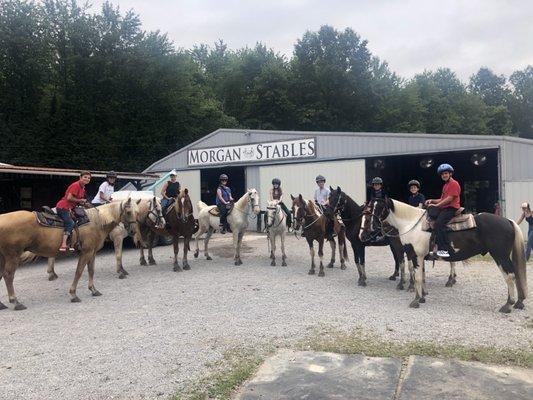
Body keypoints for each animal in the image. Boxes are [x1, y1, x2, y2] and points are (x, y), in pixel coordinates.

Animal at [0, 199, 139, 310]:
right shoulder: (86, 252)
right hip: (13, 256)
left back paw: (2, 304)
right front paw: (73, 294)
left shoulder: (92, 252)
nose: (133, 231)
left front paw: (93, 290)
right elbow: (79, 272)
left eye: (137, 212)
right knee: (8, 276)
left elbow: (91, 271)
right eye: (128, 212)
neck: (97, 221)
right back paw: (16, 302)